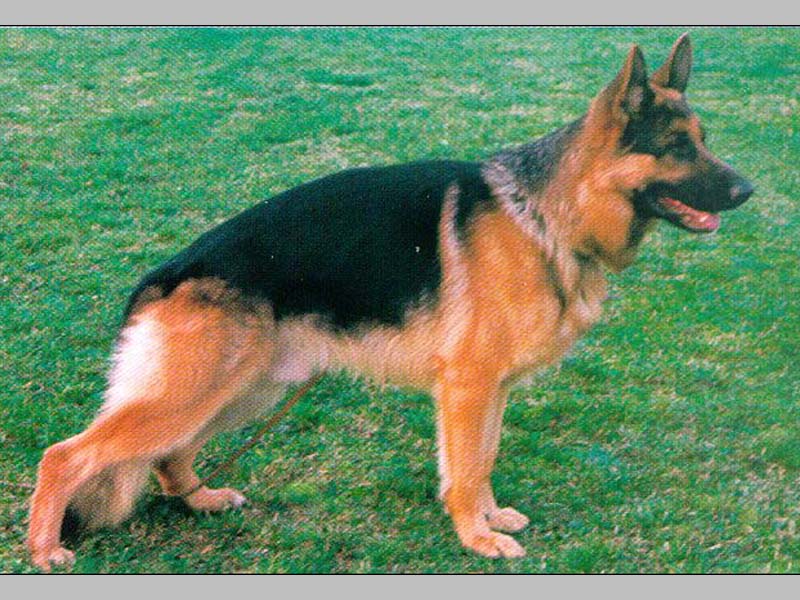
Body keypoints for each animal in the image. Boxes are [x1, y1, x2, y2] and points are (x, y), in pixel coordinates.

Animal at [28, 34, 753, 570]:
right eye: (678, 147)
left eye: (705, 139)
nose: (748, 191)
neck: (547, 214)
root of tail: (167, 272)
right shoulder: (466, 388)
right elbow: (467, 468)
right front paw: (476, 538)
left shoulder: (489, 390)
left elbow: (483, 460)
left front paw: (488, 518)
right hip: (195, 392)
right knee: (67, 455)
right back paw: (44, 550)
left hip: (241, 392)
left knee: (167, 456)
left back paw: (200, 499)